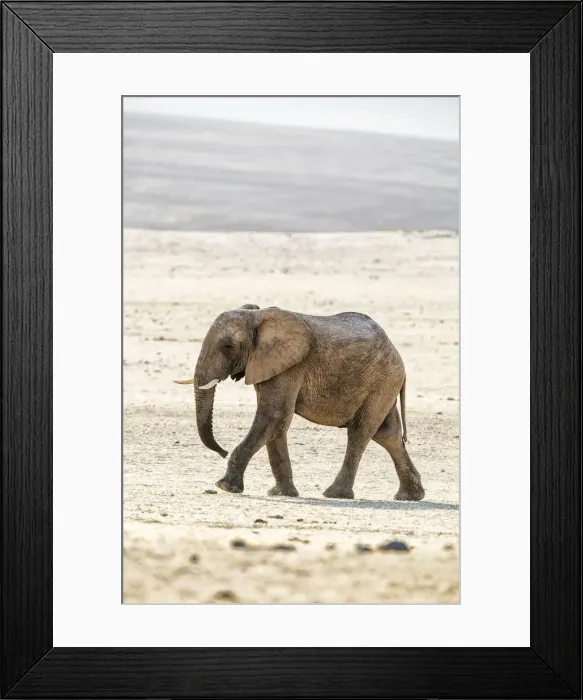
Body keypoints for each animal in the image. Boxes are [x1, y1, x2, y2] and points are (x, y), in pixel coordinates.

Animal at [174, 304, 425, 501]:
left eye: (227, 346)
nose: (222, 451)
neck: (256, 316)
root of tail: (396, 353)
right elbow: (277, 424)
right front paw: (281, 494)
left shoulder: (290, 367)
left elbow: (273, 417)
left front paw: (225, 486)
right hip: (384, 385)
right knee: (387, 434)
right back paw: (410, 496)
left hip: (381, 382)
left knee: (360, 433)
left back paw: (335, 494)